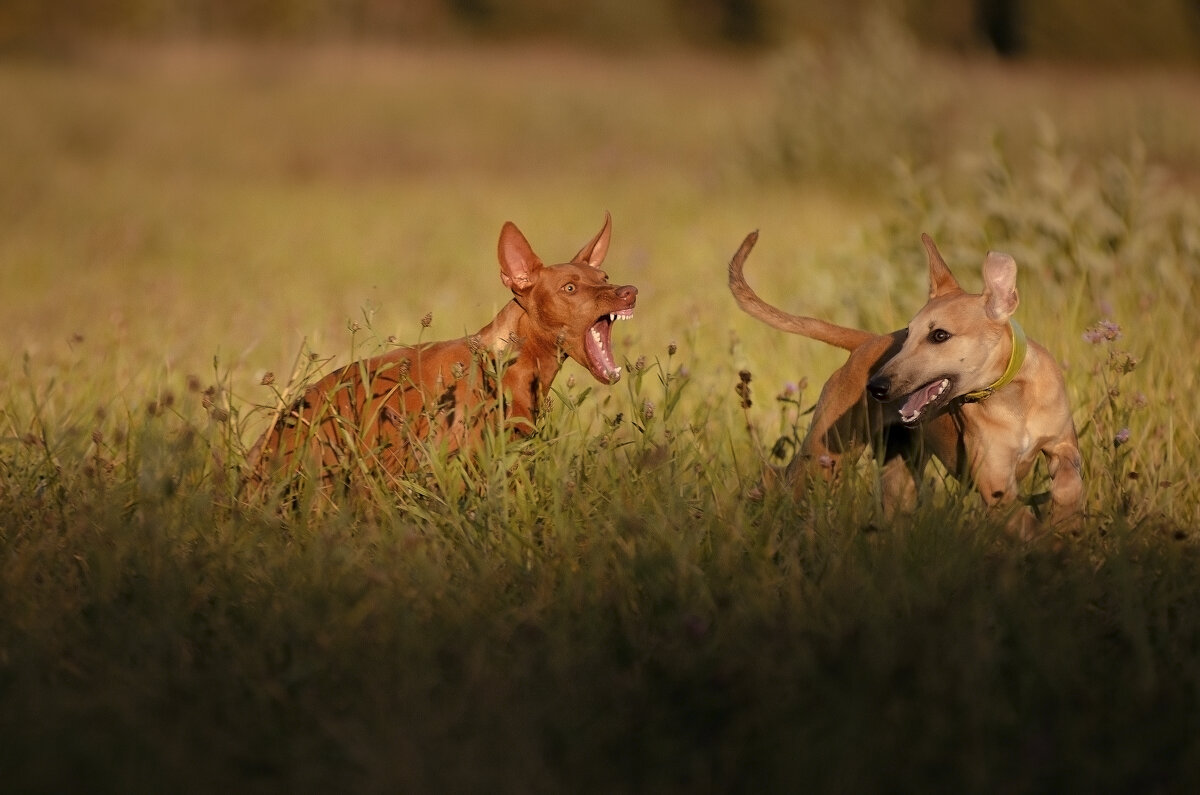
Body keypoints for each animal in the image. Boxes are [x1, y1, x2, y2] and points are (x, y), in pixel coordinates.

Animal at [724, 230, 1084, 533]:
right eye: (908, 334)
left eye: (940, 335)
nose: (876, 386)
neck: (1010, 397)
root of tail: (868, 340)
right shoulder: (995, 483)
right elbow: (1021, 519)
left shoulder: (1062, 443)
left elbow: (1068, 479)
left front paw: (1063, 517)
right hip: (825, 454)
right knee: (779, 479)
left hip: (899, 471)